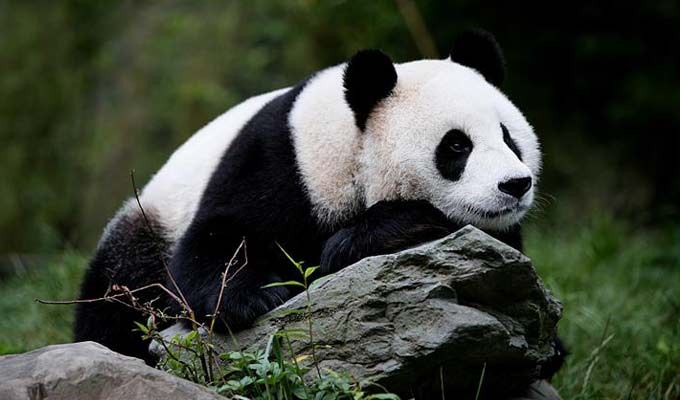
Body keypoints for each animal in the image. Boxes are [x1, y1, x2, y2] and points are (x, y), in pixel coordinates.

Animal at [75, 29, 564, 376]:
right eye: (457, 145)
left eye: (509, 137)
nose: (515, 185)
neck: (353, 141)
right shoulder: (281, 165)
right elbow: (212, 247)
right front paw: (256, 297)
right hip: (150, 223)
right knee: (117, 297)